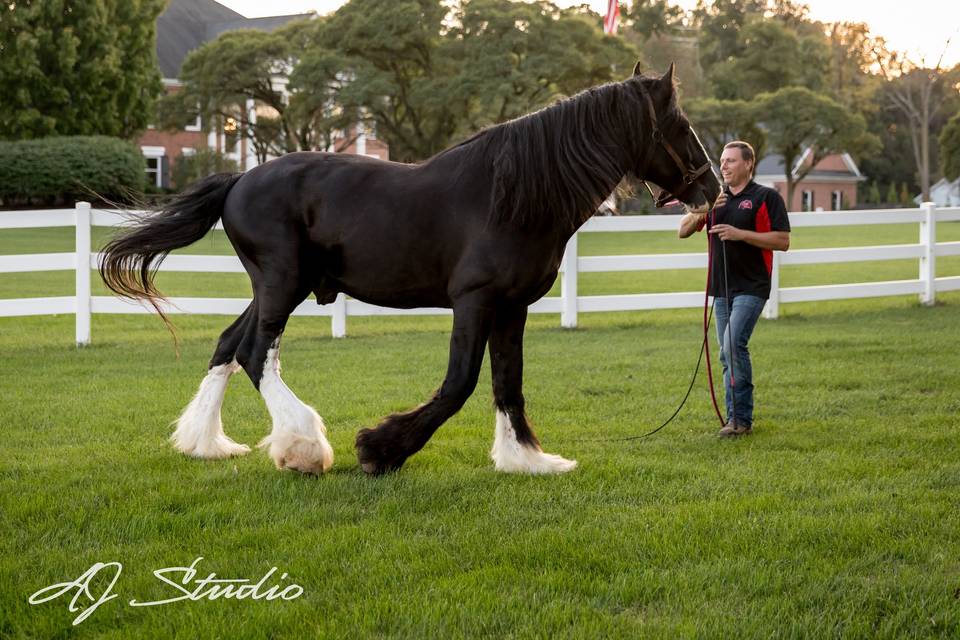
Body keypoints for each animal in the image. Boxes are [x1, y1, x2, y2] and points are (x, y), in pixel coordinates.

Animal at [103, 63, 720, 476]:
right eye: (681, 125)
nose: (712, 188)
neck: (512, 196)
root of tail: (239, 179)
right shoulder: (475, 300)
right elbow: (459, 383)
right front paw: (380, 448)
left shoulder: (512, 307)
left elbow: (509, 382)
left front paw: (527, 459)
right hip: (283, 283)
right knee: (256, 353)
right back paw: (303, 447)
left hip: (275, 287)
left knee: (229, 344)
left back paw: (206, 443)